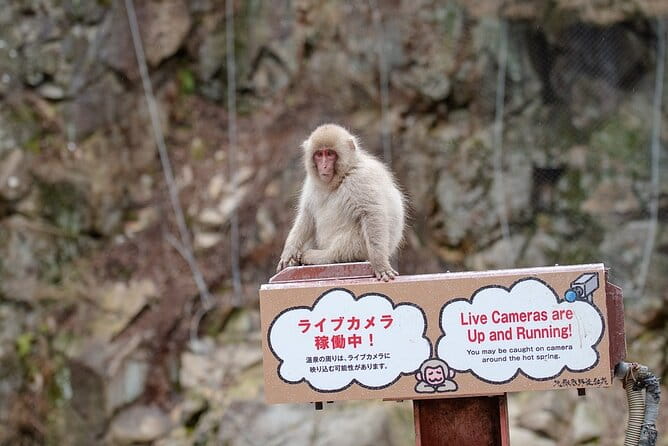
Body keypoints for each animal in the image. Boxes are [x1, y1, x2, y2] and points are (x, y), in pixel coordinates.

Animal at [277, 124, 405, 281]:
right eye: (319, 155)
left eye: (330, 154)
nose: (324, 166)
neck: (342, 176)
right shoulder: (311, 183)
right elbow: (307, 215)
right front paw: (289, 251)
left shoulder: (360, 179)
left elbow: (372, 213)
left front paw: (380, 264)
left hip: (361, 248)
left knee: (345, 246)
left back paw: (319, 256)